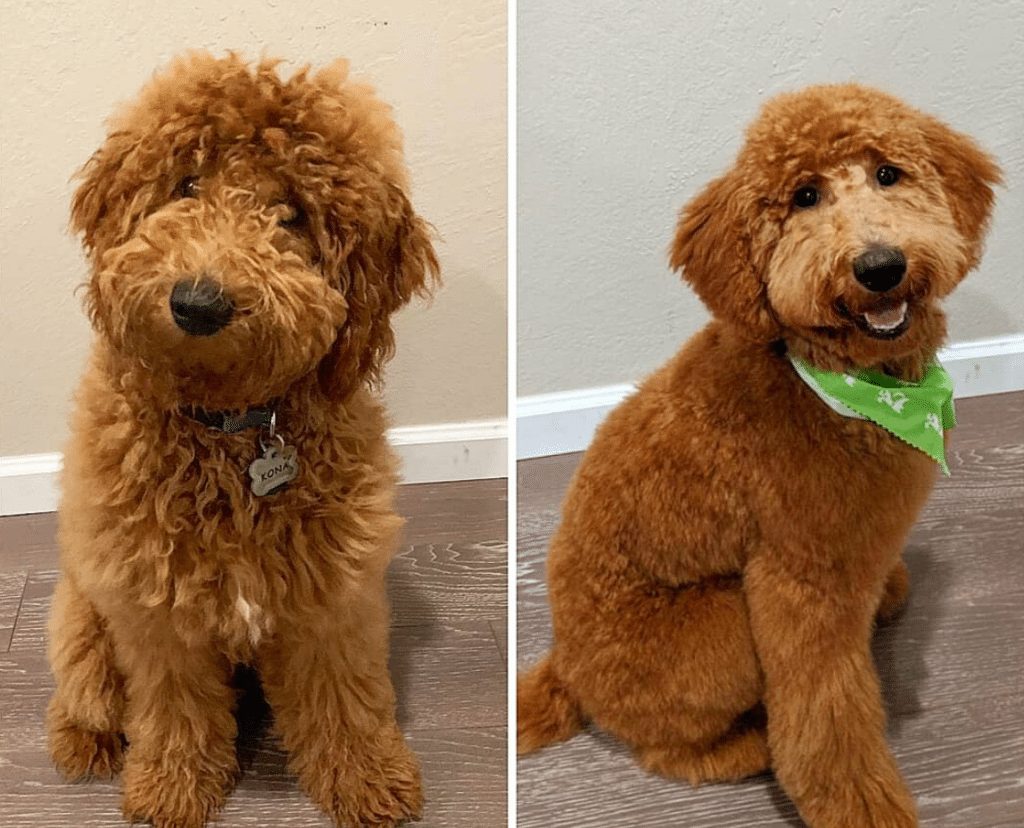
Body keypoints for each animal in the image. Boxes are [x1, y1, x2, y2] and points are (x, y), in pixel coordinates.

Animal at [46, 53, 438, 826]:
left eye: (291, 214)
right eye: (186, 185)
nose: (198, 303)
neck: (229, 429)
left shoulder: (332, 601)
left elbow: (344, 700)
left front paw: (367, 780)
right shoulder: (156, 615)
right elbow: (174, 711)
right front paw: (170, 789)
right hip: (82, 612)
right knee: (85, 686)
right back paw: (81, 738)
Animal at [516, 85, 995, 826]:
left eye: (888, 174)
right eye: (804, 197)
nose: (879, 266)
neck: (840, 382)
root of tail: (563, 665)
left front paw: (887, 589)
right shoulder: (799, 581)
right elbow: (825, 711)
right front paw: (861, 803)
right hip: (721, 633)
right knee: (667, 751)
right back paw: (746, 749)